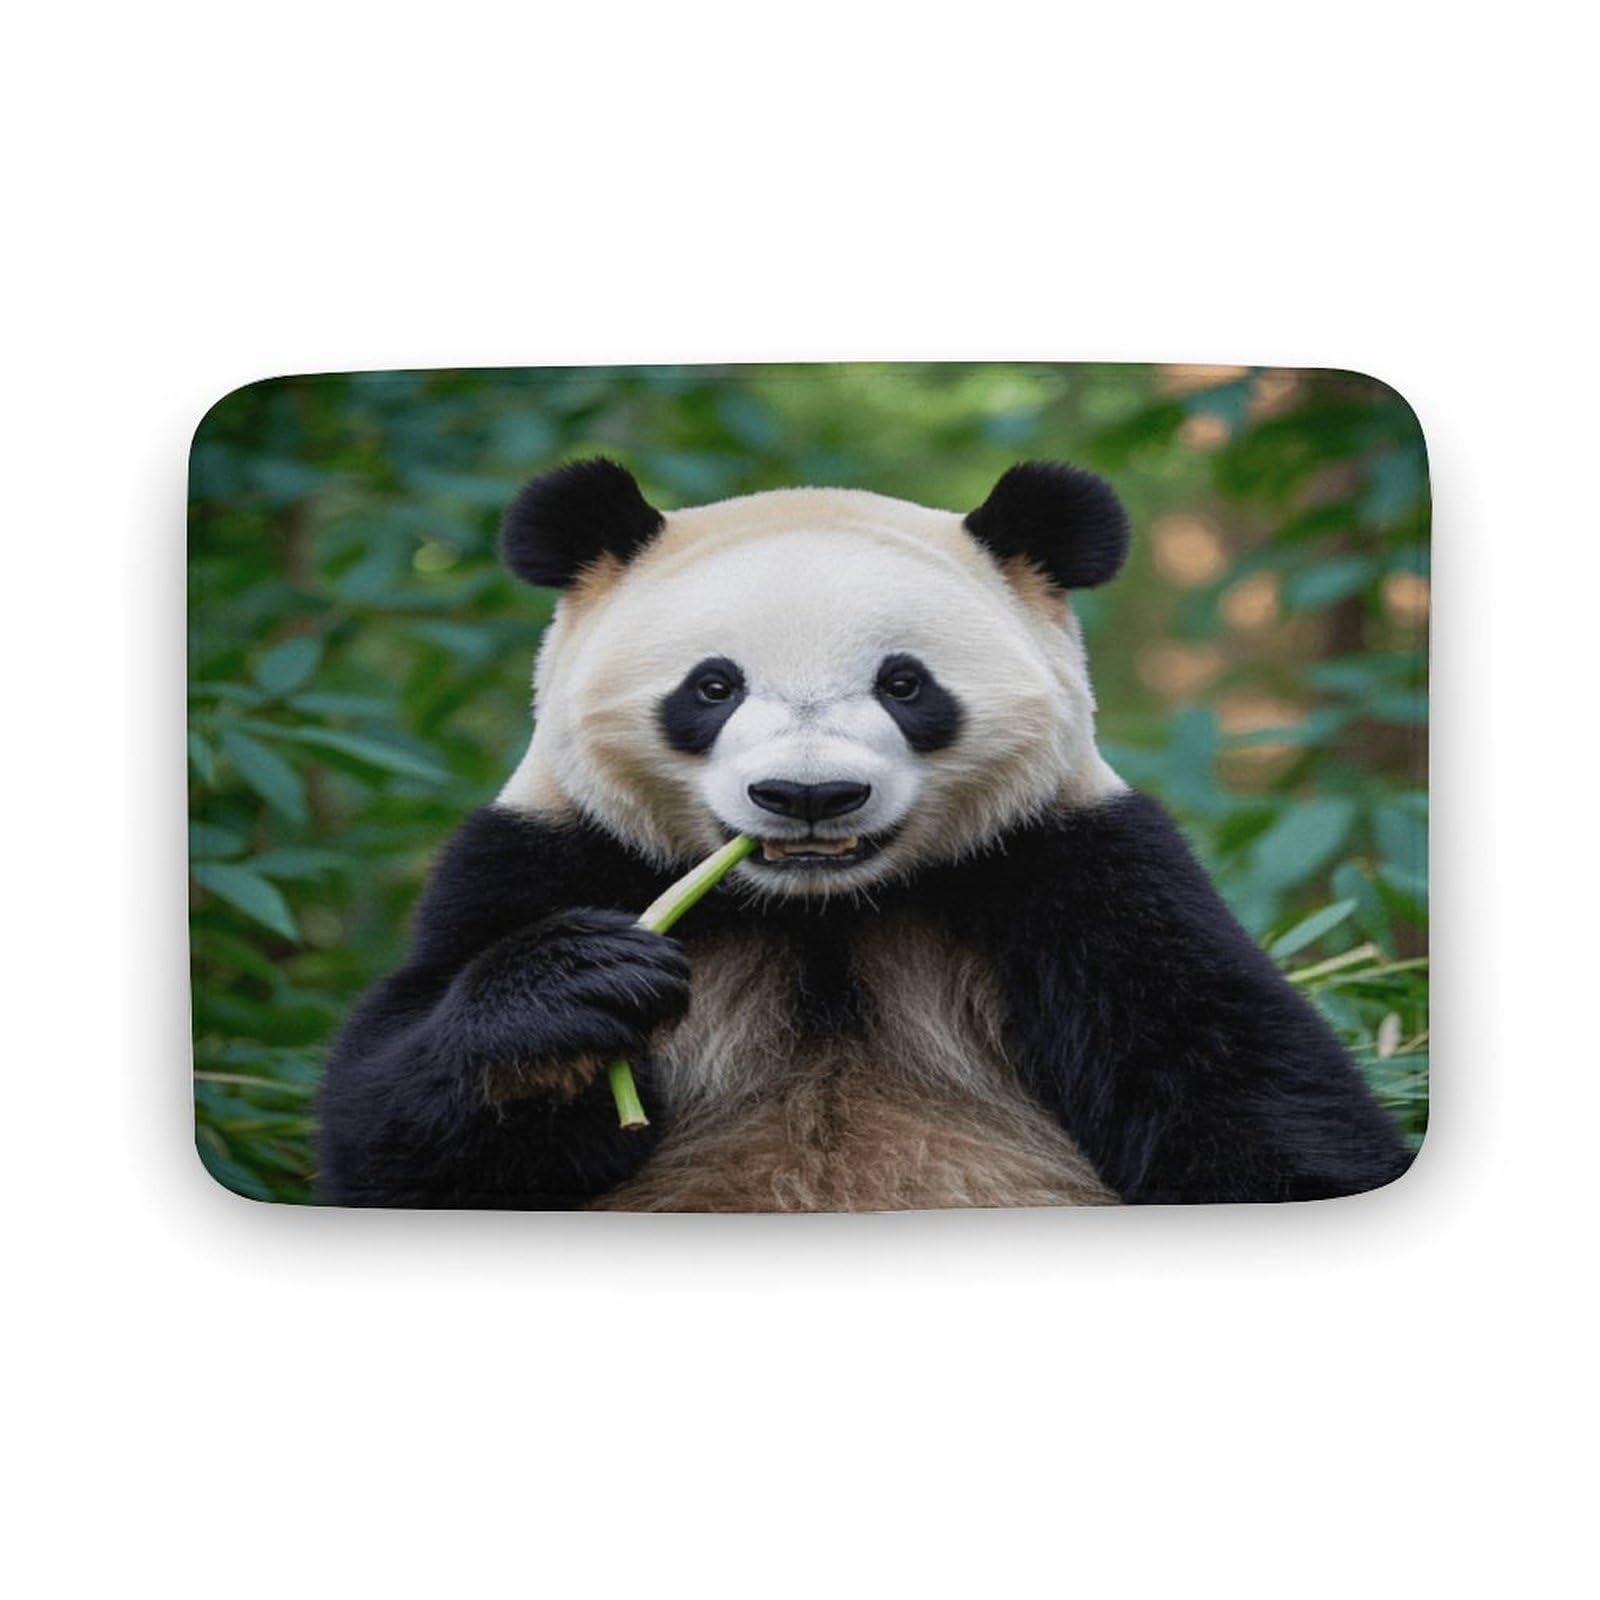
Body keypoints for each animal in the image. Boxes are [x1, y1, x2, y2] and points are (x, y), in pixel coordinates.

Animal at [316, 458, 1411, 1210]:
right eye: (713, 687)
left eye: (905, 683)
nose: (811, 795)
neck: (822, 913)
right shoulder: (546, 853)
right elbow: (387, 1128)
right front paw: (576, 986)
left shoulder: (1080, 867)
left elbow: (1246, 1093)